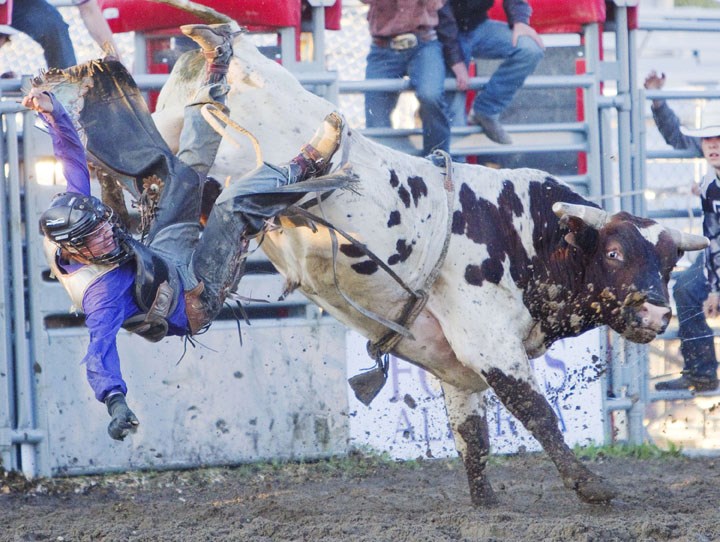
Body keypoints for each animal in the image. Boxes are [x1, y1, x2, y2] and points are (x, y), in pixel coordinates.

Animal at [32, 6, 704, 508]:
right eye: (614, 250)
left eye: (670, 260)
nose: (658, 313)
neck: (524, 231)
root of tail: (233, 48)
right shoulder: (490, 341)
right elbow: (536, 412)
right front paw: (591, 487)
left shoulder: (457, 362)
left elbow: (472, 434)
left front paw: (486, 502)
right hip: (209, 143)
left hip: (181, 143)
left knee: (139, 163)